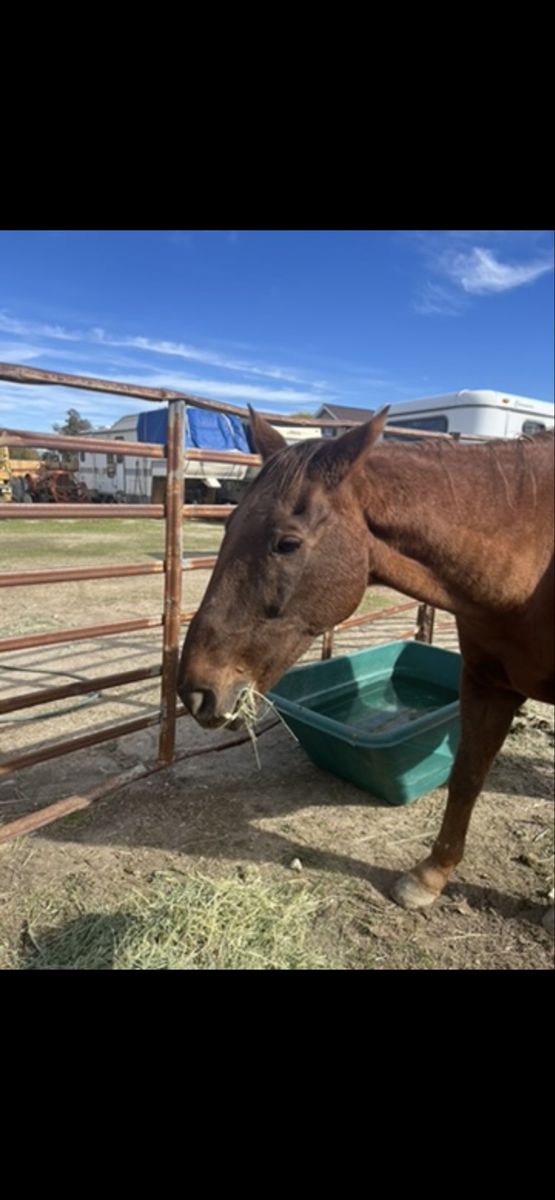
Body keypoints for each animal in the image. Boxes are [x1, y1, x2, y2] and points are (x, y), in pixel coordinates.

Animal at [178, 407, 554, 913]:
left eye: (287, 543)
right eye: (229, 525)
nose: (196, 690)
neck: (536, 560)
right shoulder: (486, 685)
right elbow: (466, 777)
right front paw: (430, 875)